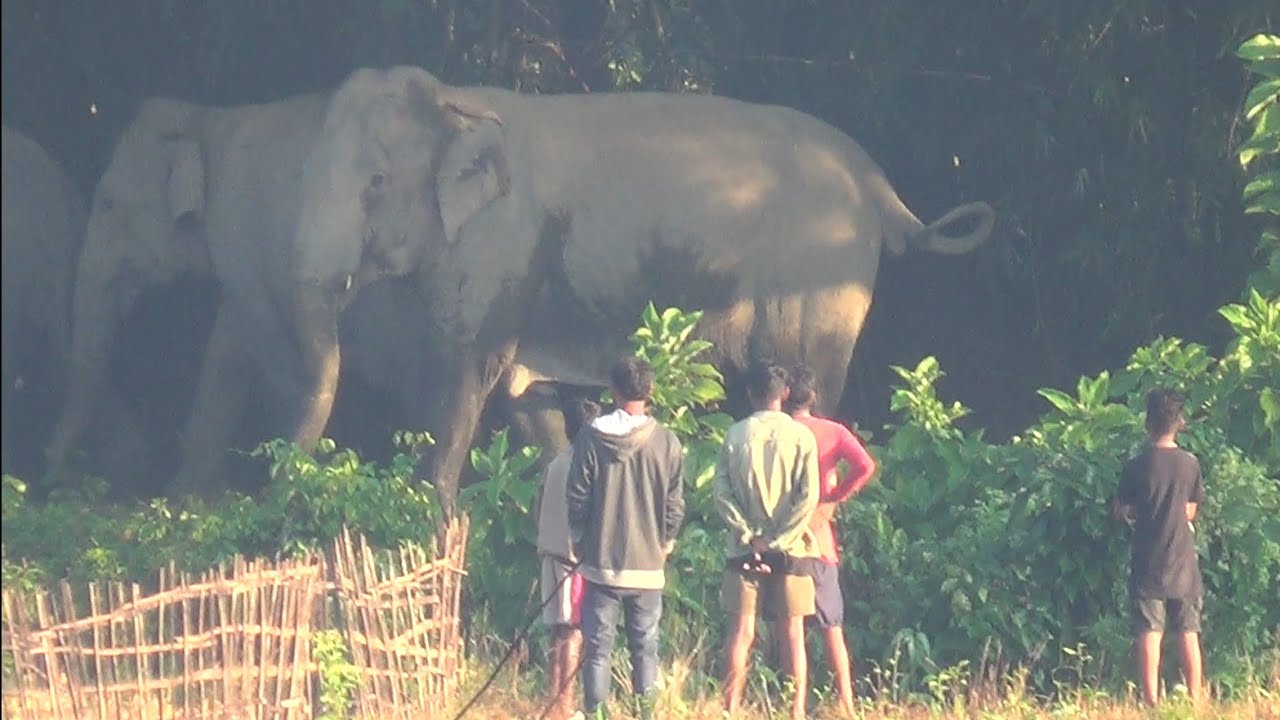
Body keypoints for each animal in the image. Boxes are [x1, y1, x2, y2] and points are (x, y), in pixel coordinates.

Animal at [287, 65, 995, 515]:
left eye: (376, 182)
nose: (282, 493)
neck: (456, 100)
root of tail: (884, 192)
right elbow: (525, 397)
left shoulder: (501, 248)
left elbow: (470, 375)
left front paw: (429, 513)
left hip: (818, 281)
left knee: (809, 389)